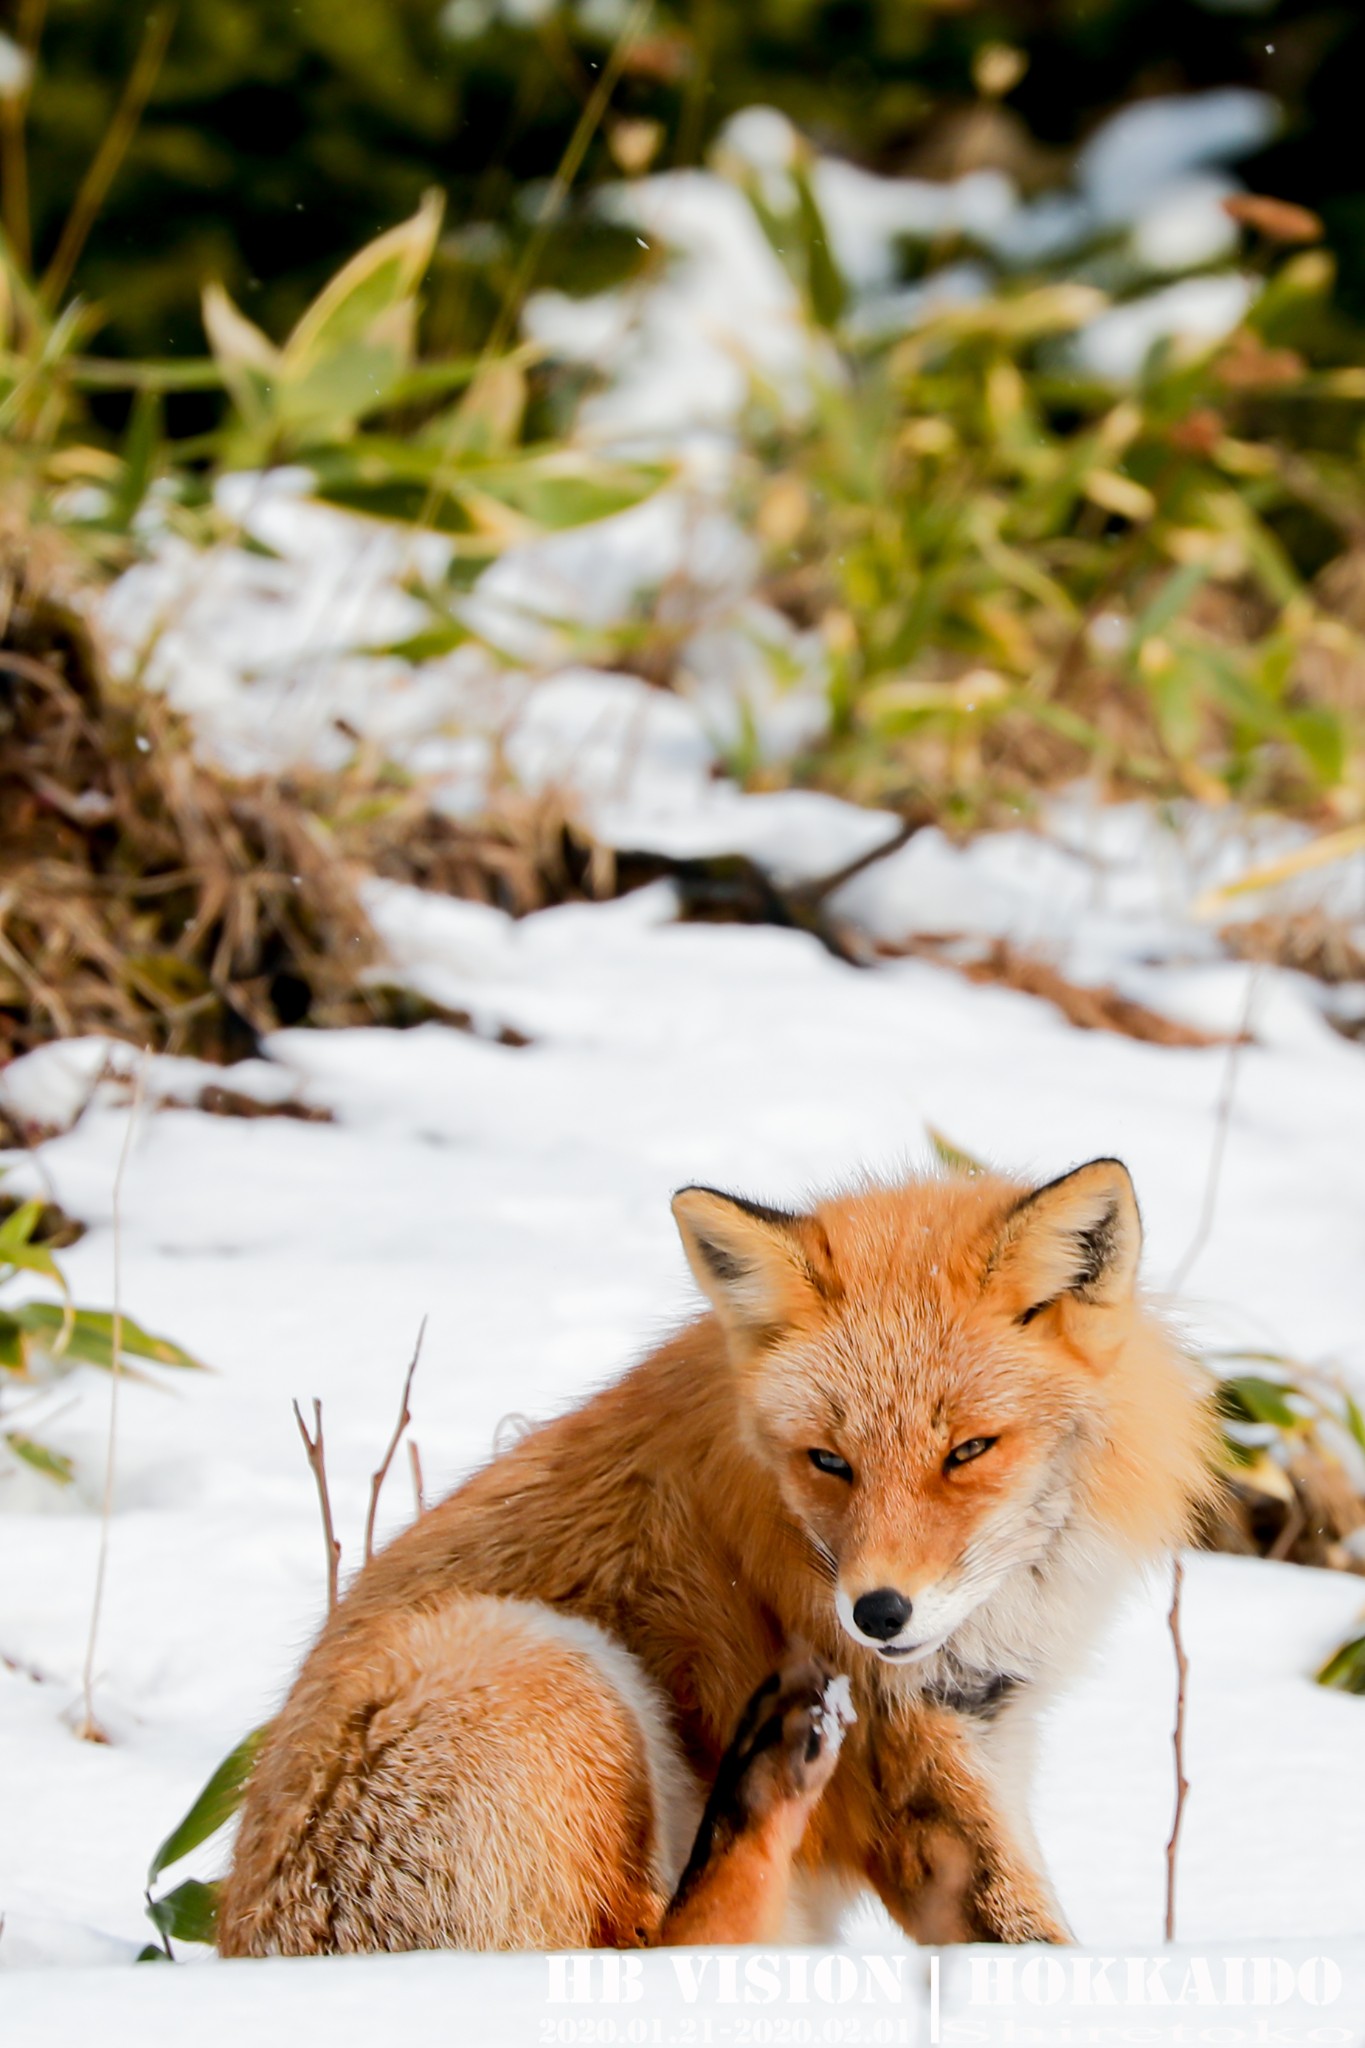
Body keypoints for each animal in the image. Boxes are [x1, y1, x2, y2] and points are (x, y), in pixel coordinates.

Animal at [218, 1163, 1219, 1957]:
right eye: (829, 1461)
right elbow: (1028, 1935)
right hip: (541, 1663)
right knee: (656, 1948)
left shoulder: (982, 1733)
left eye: (968, 1451)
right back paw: (765, 1779)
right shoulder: (914, 1761)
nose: (877, 1614)